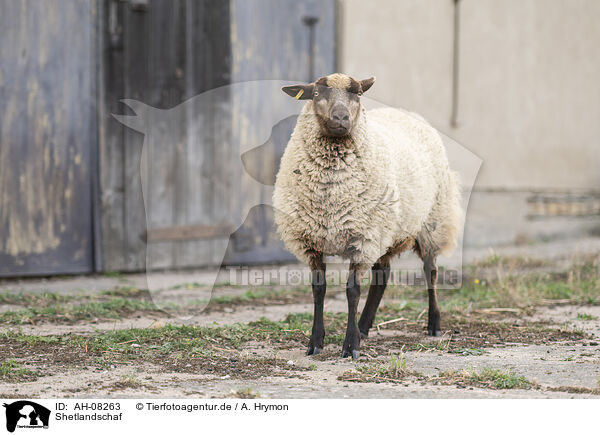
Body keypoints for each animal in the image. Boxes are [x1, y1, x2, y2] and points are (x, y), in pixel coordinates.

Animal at [274, 73, 462, 360]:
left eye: (359, 94)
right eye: (316, 93)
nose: (341, 118)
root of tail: (406, 112)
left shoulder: (362, 239)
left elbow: (352, 291)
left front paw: (350, 346)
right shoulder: (311, 242)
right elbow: (319, 290)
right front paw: (316, 342)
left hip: (431, 221)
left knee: (430, 271)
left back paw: (433, 324)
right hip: (386, 230)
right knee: (382, 276)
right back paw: (364, 325)